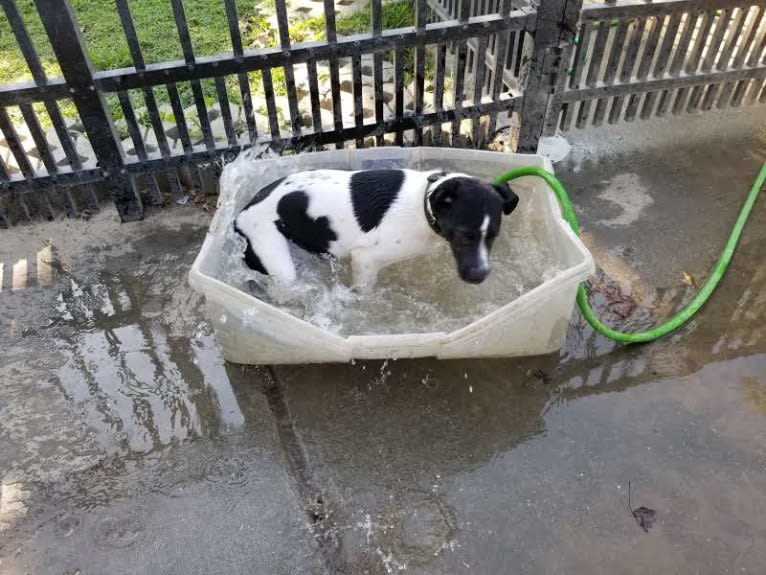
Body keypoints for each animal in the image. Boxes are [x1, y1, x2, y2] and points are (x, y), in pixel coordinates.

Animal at [234, 169, 520, 290]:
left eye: (493, 236)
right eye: (463, 234)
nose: (480, 275)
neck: (422, 201)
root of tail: (242, 213)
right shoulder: (365, 260)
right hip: (277, 262)